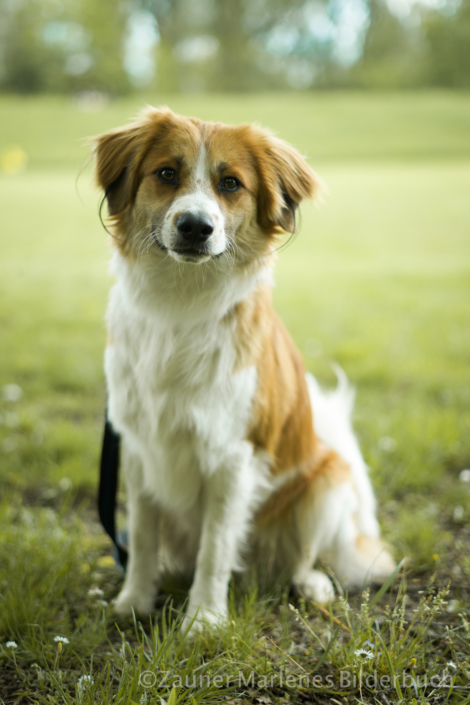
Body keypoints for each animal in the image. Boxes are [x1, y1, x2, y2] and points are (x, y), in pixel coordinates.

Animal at [93, 106, 394, 632]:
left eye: (230, 183)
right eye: (166, 173)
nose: (195, 226)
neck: (180, 305)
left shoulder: (234, 454)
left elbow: (216, 547)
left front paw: (204, 620)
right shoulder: (137, 446)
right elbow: (145, 536)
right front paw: (135, 601)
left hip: (328, 482)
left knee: (301, 558)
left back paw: (311, 584)